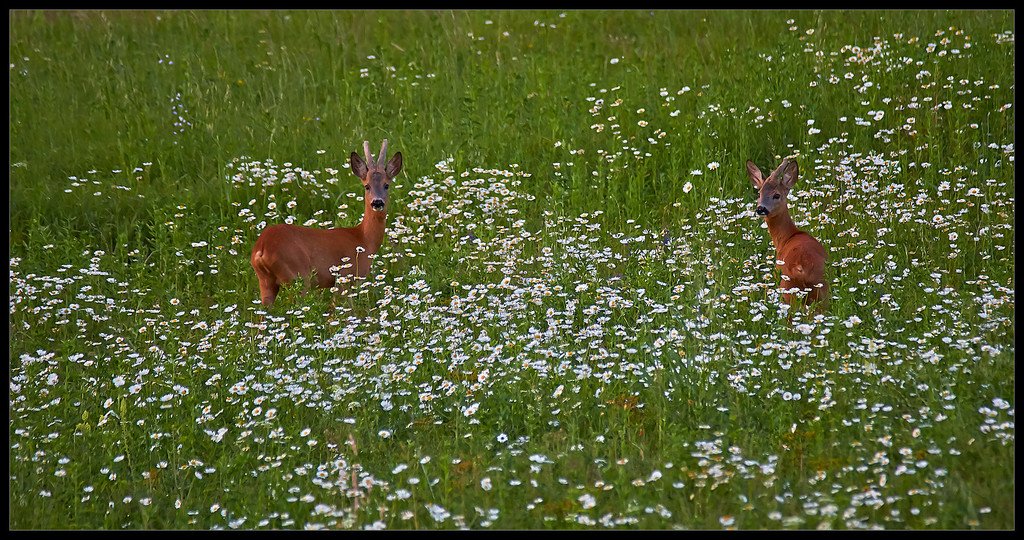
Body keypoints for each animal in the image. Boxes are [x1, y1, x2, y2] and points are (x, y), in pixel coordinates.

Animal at [249, 139, 401, 307]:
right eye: (367, 186)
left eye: (386, 185)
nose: (377, 202)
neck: (363, 239)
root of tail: (261, 248)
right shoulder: (345, 278)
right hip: (298, 276)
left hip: (265, 281)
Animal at [745, 156, 831, 313]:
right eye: (759, 194)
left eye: (776, 195)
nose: (761, 209)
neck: (787, 238)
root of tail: (802, 269)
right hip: (823, 290)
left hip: (787, 289)